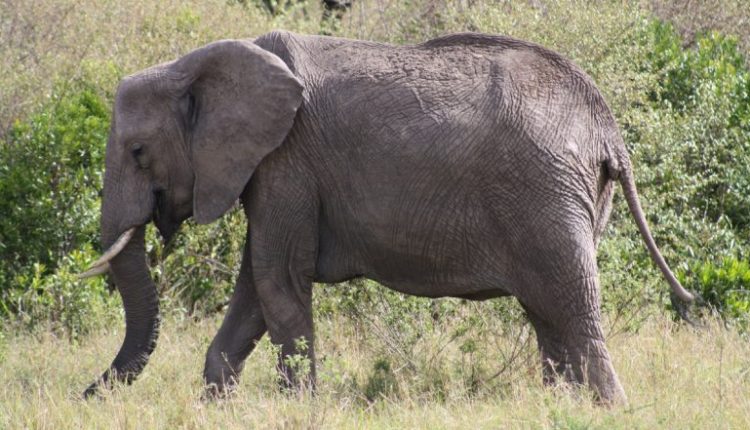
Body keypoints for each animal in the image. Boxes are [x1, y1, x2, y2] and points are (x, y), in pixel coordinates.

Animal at [78, 30, 694, 404]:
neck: (195, 65)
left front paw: (298, 408)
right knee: (550, 318)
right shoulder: (272, 172)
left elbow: (277, 282)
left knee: (573, 314)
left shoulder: (285, 163)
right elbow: (254, 291)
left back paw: (609, 410)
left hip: (547, 196)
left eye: (137, 152)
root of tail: (607, 128)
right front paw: (217, 405)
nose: (85, 393)